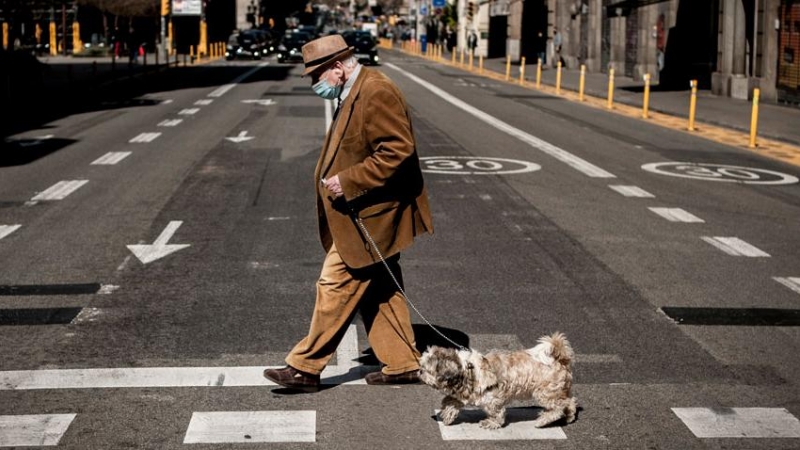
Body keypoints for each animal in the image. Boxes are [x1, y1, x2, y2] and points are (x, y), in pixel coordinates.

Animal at [418, 332, 576, 430]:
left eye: (427, 369)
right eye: (422, 366)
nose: (419, 371)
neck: (467, 369)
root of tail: (560, 359)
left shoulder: (492, 399)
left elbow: (496, 412)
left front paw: (491, 423)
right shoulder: (465, 394)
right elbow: (451, 401)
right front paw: (447, 414)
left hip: (545, 392)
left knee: (558, 407)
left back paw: (543, 420)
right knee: (569, 401)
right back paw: (569, 416)